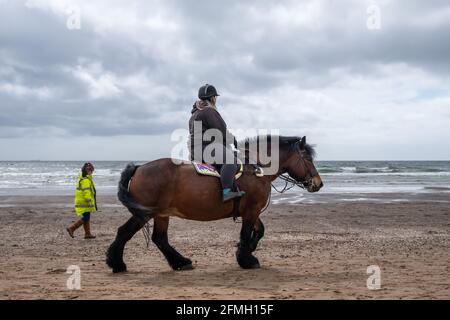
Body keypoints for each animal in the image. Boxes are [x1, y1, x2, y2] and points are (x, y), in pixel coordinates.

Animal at [105, 135, 324, 272]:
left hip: (161, 213)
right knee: (125, 232)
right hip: (147, 213)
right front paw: (246, 258)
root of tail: (139, 167)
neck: (256, 169)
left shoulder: (251, 211)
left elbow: (259, 231)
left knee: (159, 238)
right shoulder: (251, 210)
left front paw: (246, 250)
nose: (318, 183)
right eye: (307, 158)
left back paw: (180, 262)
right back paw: (117, 264)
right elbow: (246, 233)